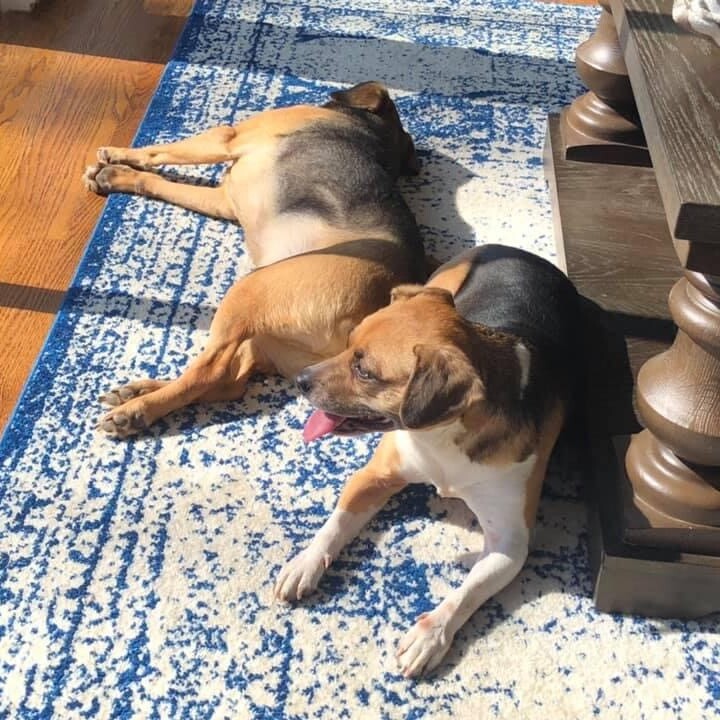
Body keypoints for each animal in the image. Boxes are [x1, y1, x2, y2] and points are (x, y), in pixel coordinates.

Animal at [83, 81, 428, 436]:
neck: (376, 132)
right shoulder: (222, 200)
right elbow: (157, 181)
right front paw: (118, 176)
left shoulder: (228, 137)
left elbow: (158, 151)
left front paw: (116, 156)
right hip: (263, 334)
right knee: (229, 382)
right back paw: (138, 391)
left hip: (250, 291)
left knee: (209, 373)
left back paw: (137, 410)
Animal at [272, 245, 584, 676]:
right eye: (348, 343)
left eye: (364, 371)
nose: (300, 380)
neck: (440, 438)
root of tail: (515, 251)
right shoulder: (372, 477)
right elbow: (335, 525)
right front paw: (305, 562)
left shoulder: (510, 542)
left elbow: (466, 592)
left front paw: (430, 635)